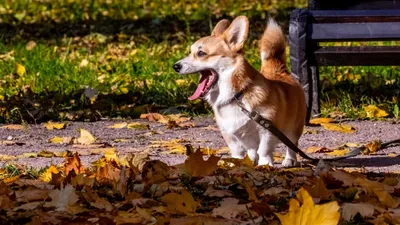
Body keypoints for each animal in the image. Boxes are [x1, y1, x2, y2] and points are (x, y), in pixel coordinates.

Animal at [173, 16, 306, 167]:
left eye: (201, 53)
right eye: (190, 52)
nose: (175, 66)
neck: (237, 95)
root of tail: (279, 70)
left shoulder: (267, 129)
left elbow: (264, 150)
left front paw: (265, 165)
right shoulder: (229, 133)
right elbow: (237, 152)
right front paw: (236, 163)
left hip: (293, 128)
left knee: (292, 144)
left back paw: (289, 160)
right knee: (252, 149)